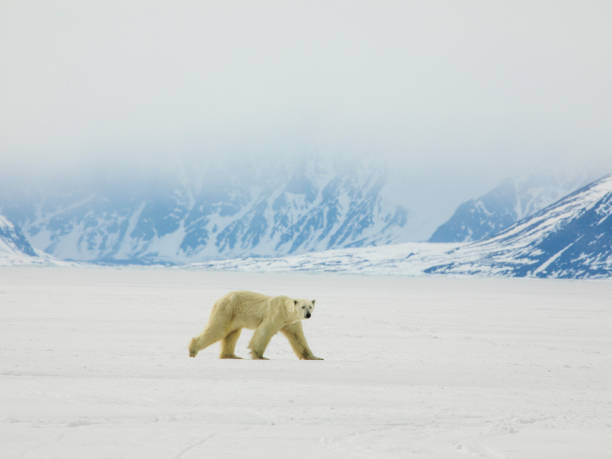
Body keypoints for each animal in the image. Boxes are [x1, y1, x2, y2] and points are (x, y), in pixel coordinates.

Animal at [188, 292, 322, 362]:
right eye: (303, 307)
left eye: (310, 306)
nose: (308, 315)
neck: (286, 311)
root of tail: (218, 300)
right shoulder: (276, 315)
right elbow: (264, 331)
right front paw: (260, 356)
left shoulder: (291, 323)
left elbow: (298, 338)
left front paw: (315, 357)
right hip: (227, 311)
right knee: (218, 329)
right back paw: (192, 350)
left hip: (233, 317)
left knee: (232, 335)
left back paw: (232, 356)